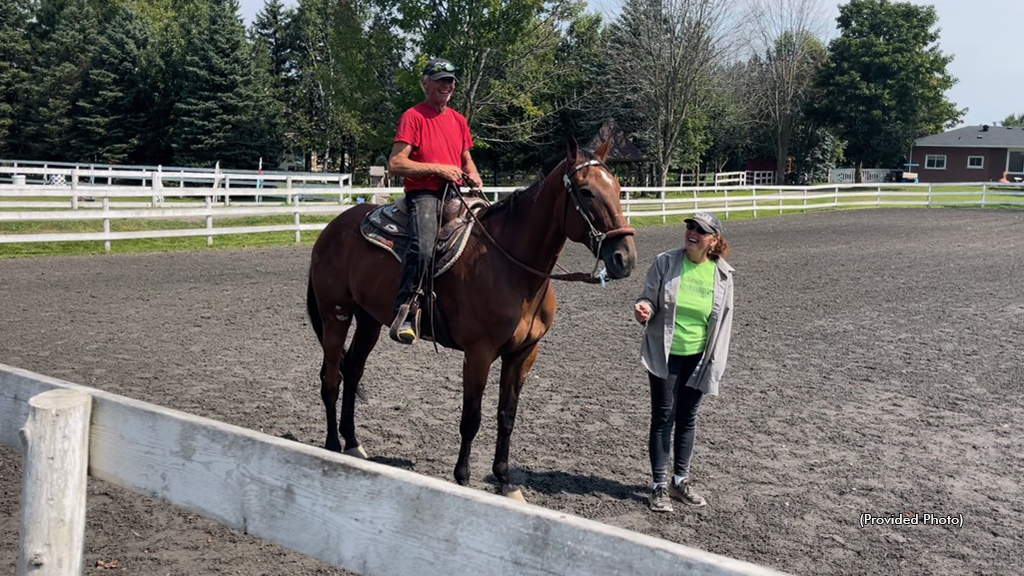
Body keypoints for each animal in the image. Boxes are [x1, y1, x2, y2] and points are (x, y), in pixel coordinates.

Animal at [307, 135, 634, 498]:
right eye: (586, 191)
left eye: (618, 187)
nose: (624, 258)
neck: (513, 269)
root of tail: (333, 228)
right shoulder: (479, 353)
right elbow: (471, 418)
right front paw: (463, 478)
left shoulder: (523, 353)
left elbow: (507, 416)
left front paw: (505, 481)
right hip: (335, 315)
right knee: (331, 379)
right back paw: (333, 445)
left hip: (368, 320)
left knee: (352, 371)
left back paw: (352, 443)